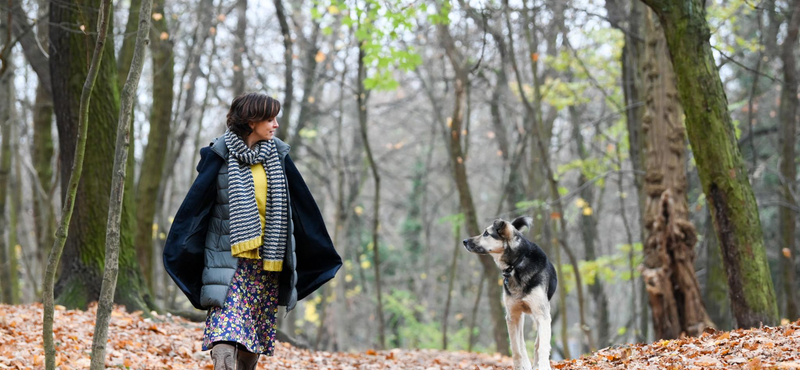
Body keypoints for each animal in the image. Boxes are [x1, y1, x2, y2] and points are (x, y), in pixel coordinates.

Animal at [462, 217, 556, 370]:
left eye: (486, 233)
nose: (464, 241)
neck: (516, 265)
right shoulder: (512, 316)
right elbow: (516, 348)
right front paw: (519, 366)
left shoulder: (542, 315)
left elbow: (542, 345)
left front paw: (543, 365)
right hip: (520, 316)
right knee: (521, 343)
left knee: (537, 342)